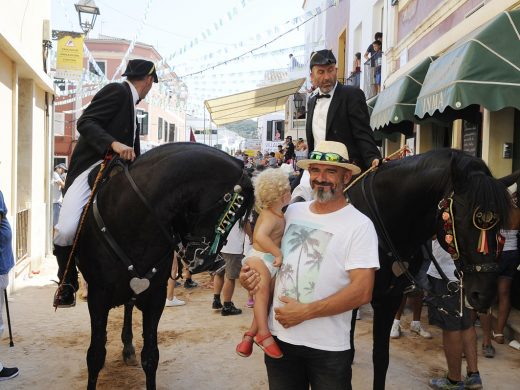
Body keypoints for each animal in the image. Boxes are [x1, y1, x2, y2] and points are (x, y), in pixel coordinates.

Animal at [75, 144, 254, 390]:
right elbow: (95, 356)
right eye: (230, 211)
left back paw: (128, 347)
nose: (211, 262)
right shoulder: (98, 297)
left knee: (129, 307)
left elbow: (151, 356)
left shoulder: (154, 297)